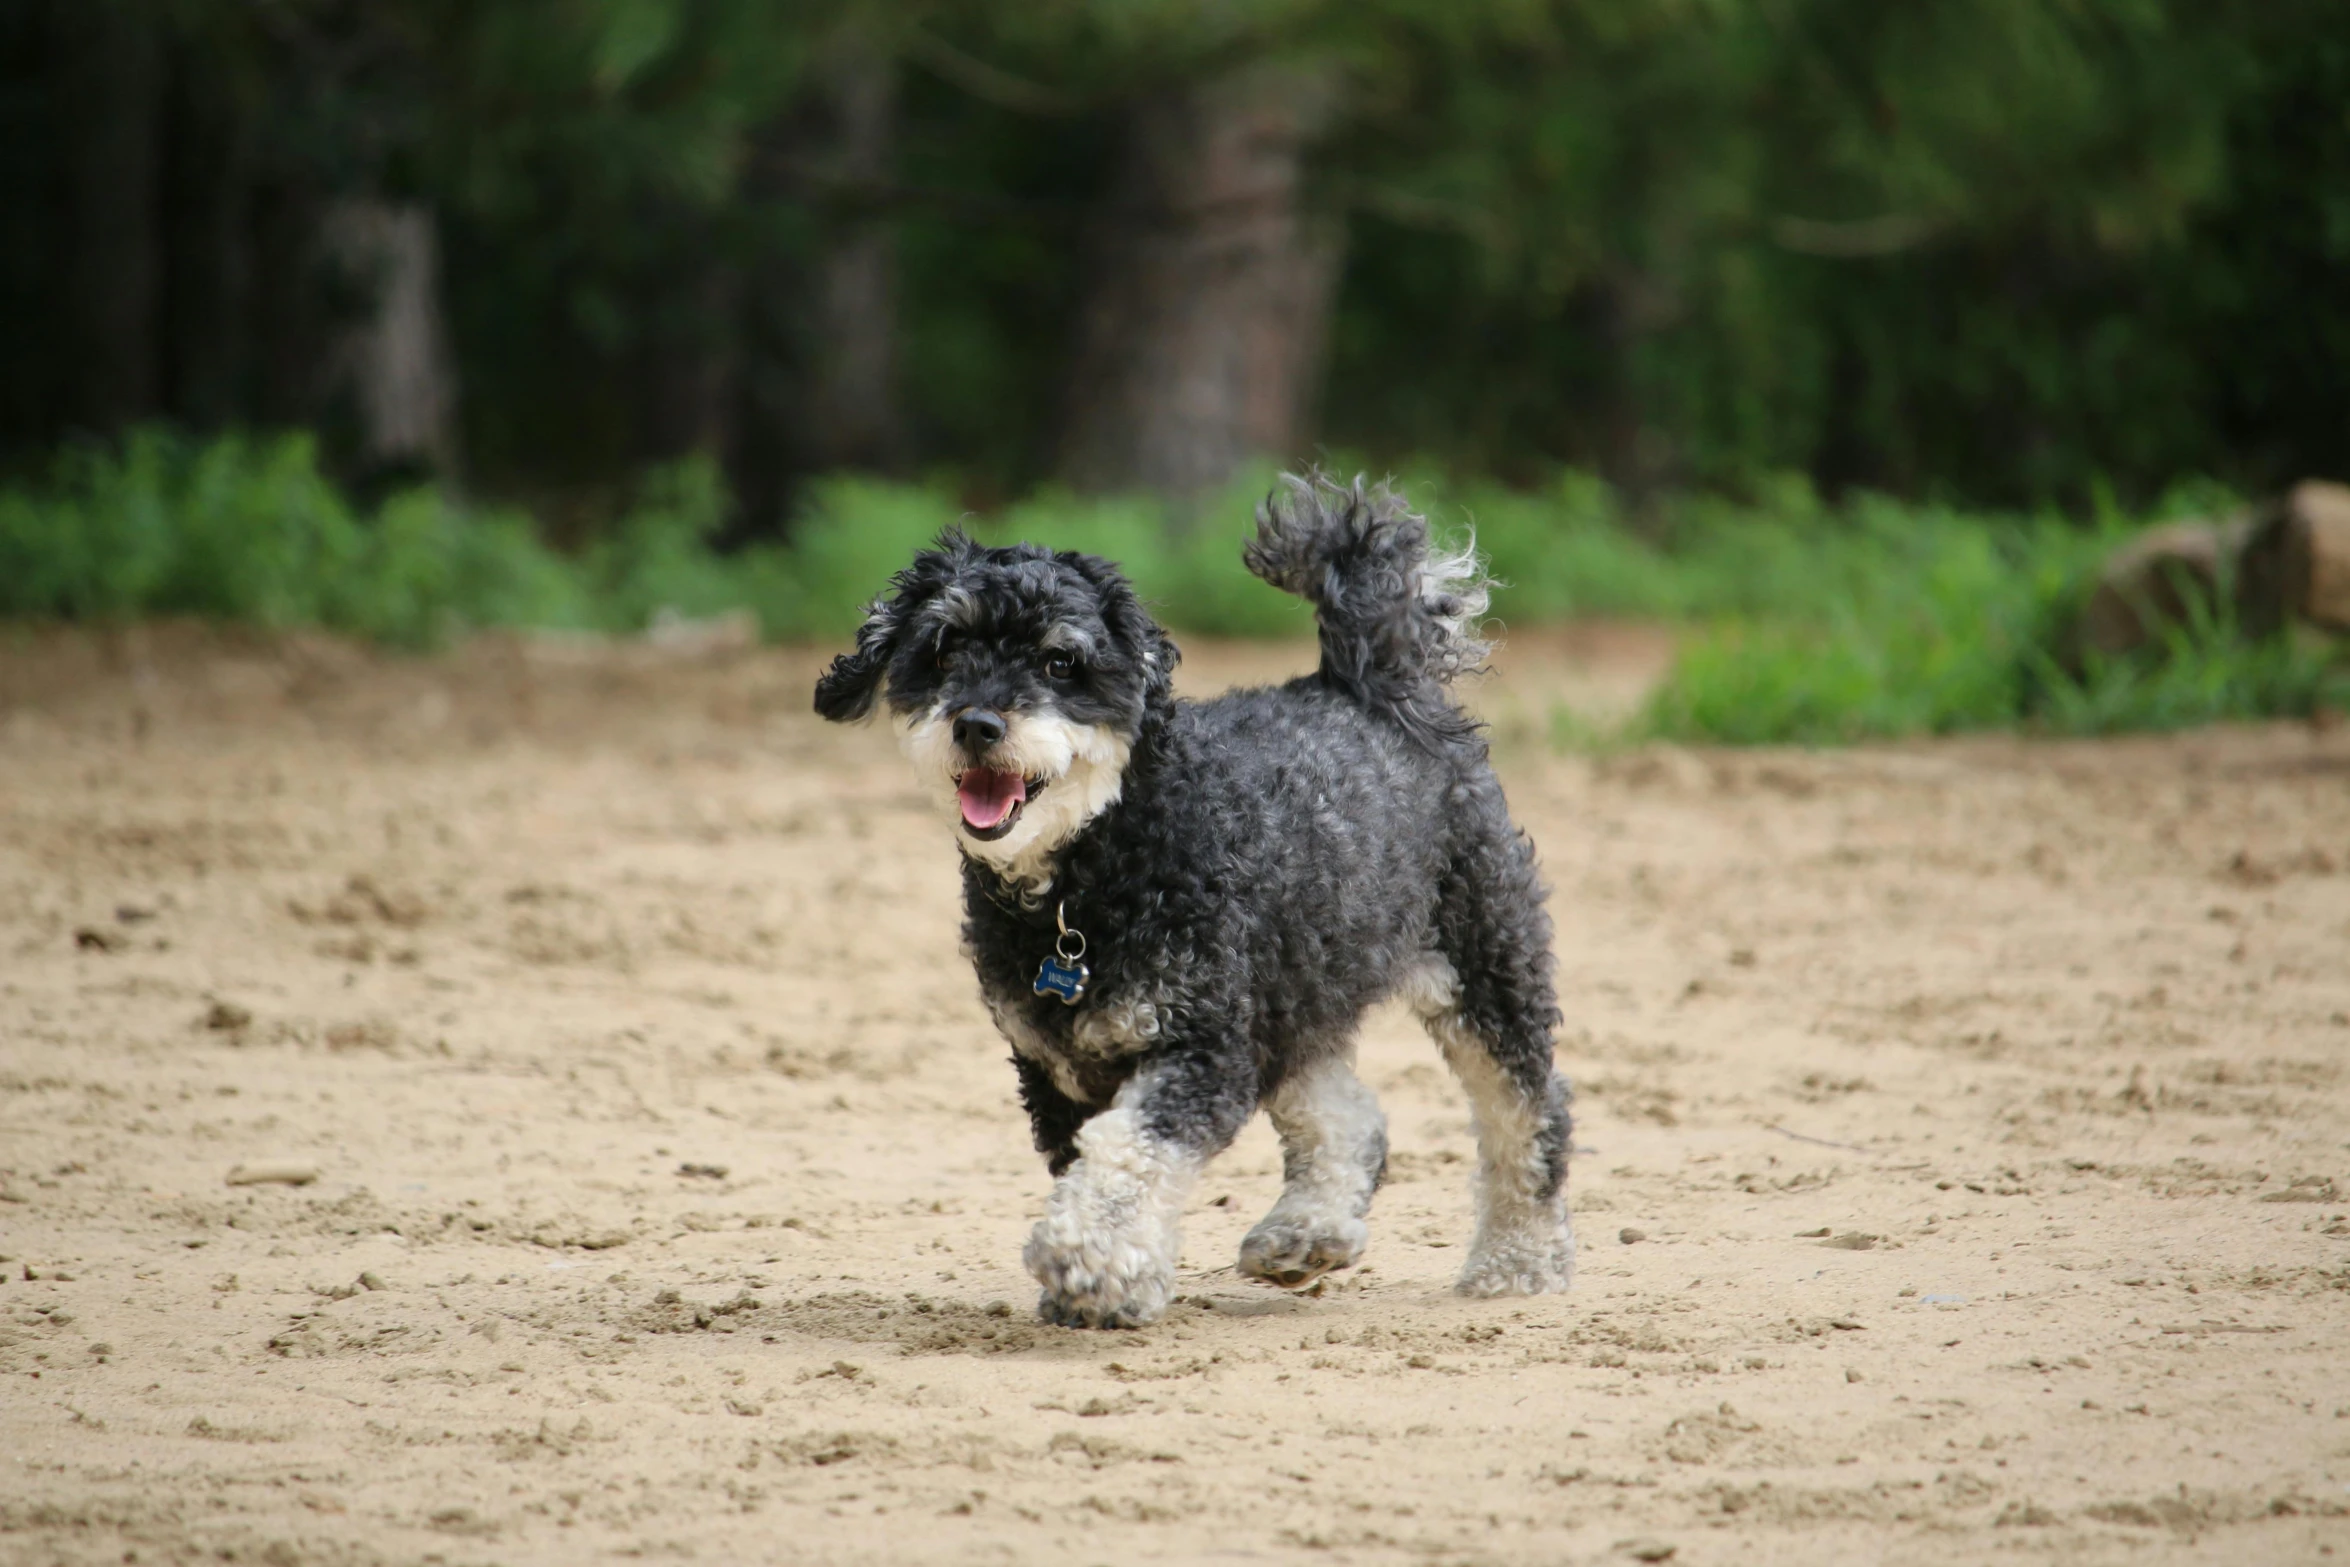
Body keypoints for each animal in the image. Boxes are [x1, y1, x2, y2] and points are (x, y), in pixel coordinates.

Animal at [813, 469, 1579, 1325]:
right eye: (942, 649)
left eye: (1059, 661)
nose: (977, 723)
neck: (1093, 876)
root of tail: (1371, 680)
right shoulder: (1059, 1068)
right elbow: (1100, 1158)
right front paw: (1121, 1281)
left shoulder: (1200, 1046)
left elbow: (1128, 1154)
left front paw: (1089, 1258)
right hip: (1288, 997)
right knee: (1350, 1116)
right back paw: (1306, 1233)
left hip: (1482, 964)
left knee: (1528, 1113)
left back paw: (1517, 1259)